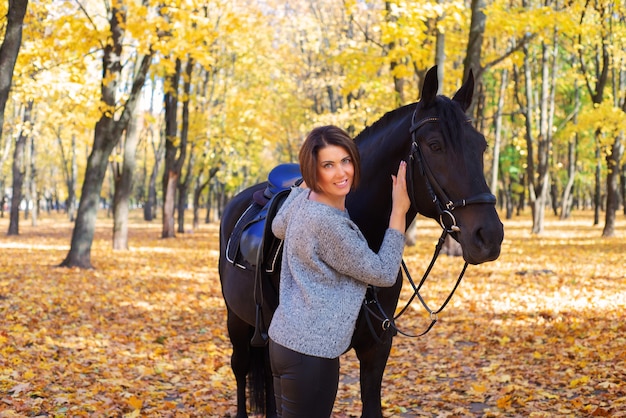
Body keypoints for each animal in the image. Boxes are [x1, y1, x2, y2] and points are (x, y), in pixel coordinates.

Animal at [218, 67, 502, 416]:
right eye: (435, 145)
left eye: (481, 145)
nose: (490, 236)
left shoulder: (375, 350)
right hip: (238, 323)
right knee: (241, 369)